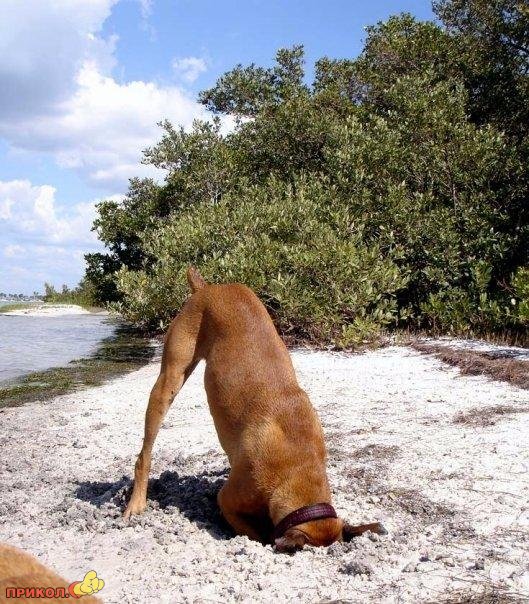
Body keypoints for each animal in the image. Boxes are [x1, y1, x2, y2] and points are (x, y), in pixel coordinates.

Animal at [124, 267, 385, 552]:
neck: (299, 466)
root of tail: (208, 288)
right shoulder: (230, 500)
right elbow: (259, 534)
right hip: (168, 383)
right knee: (144, 455)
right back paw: (136, 503)